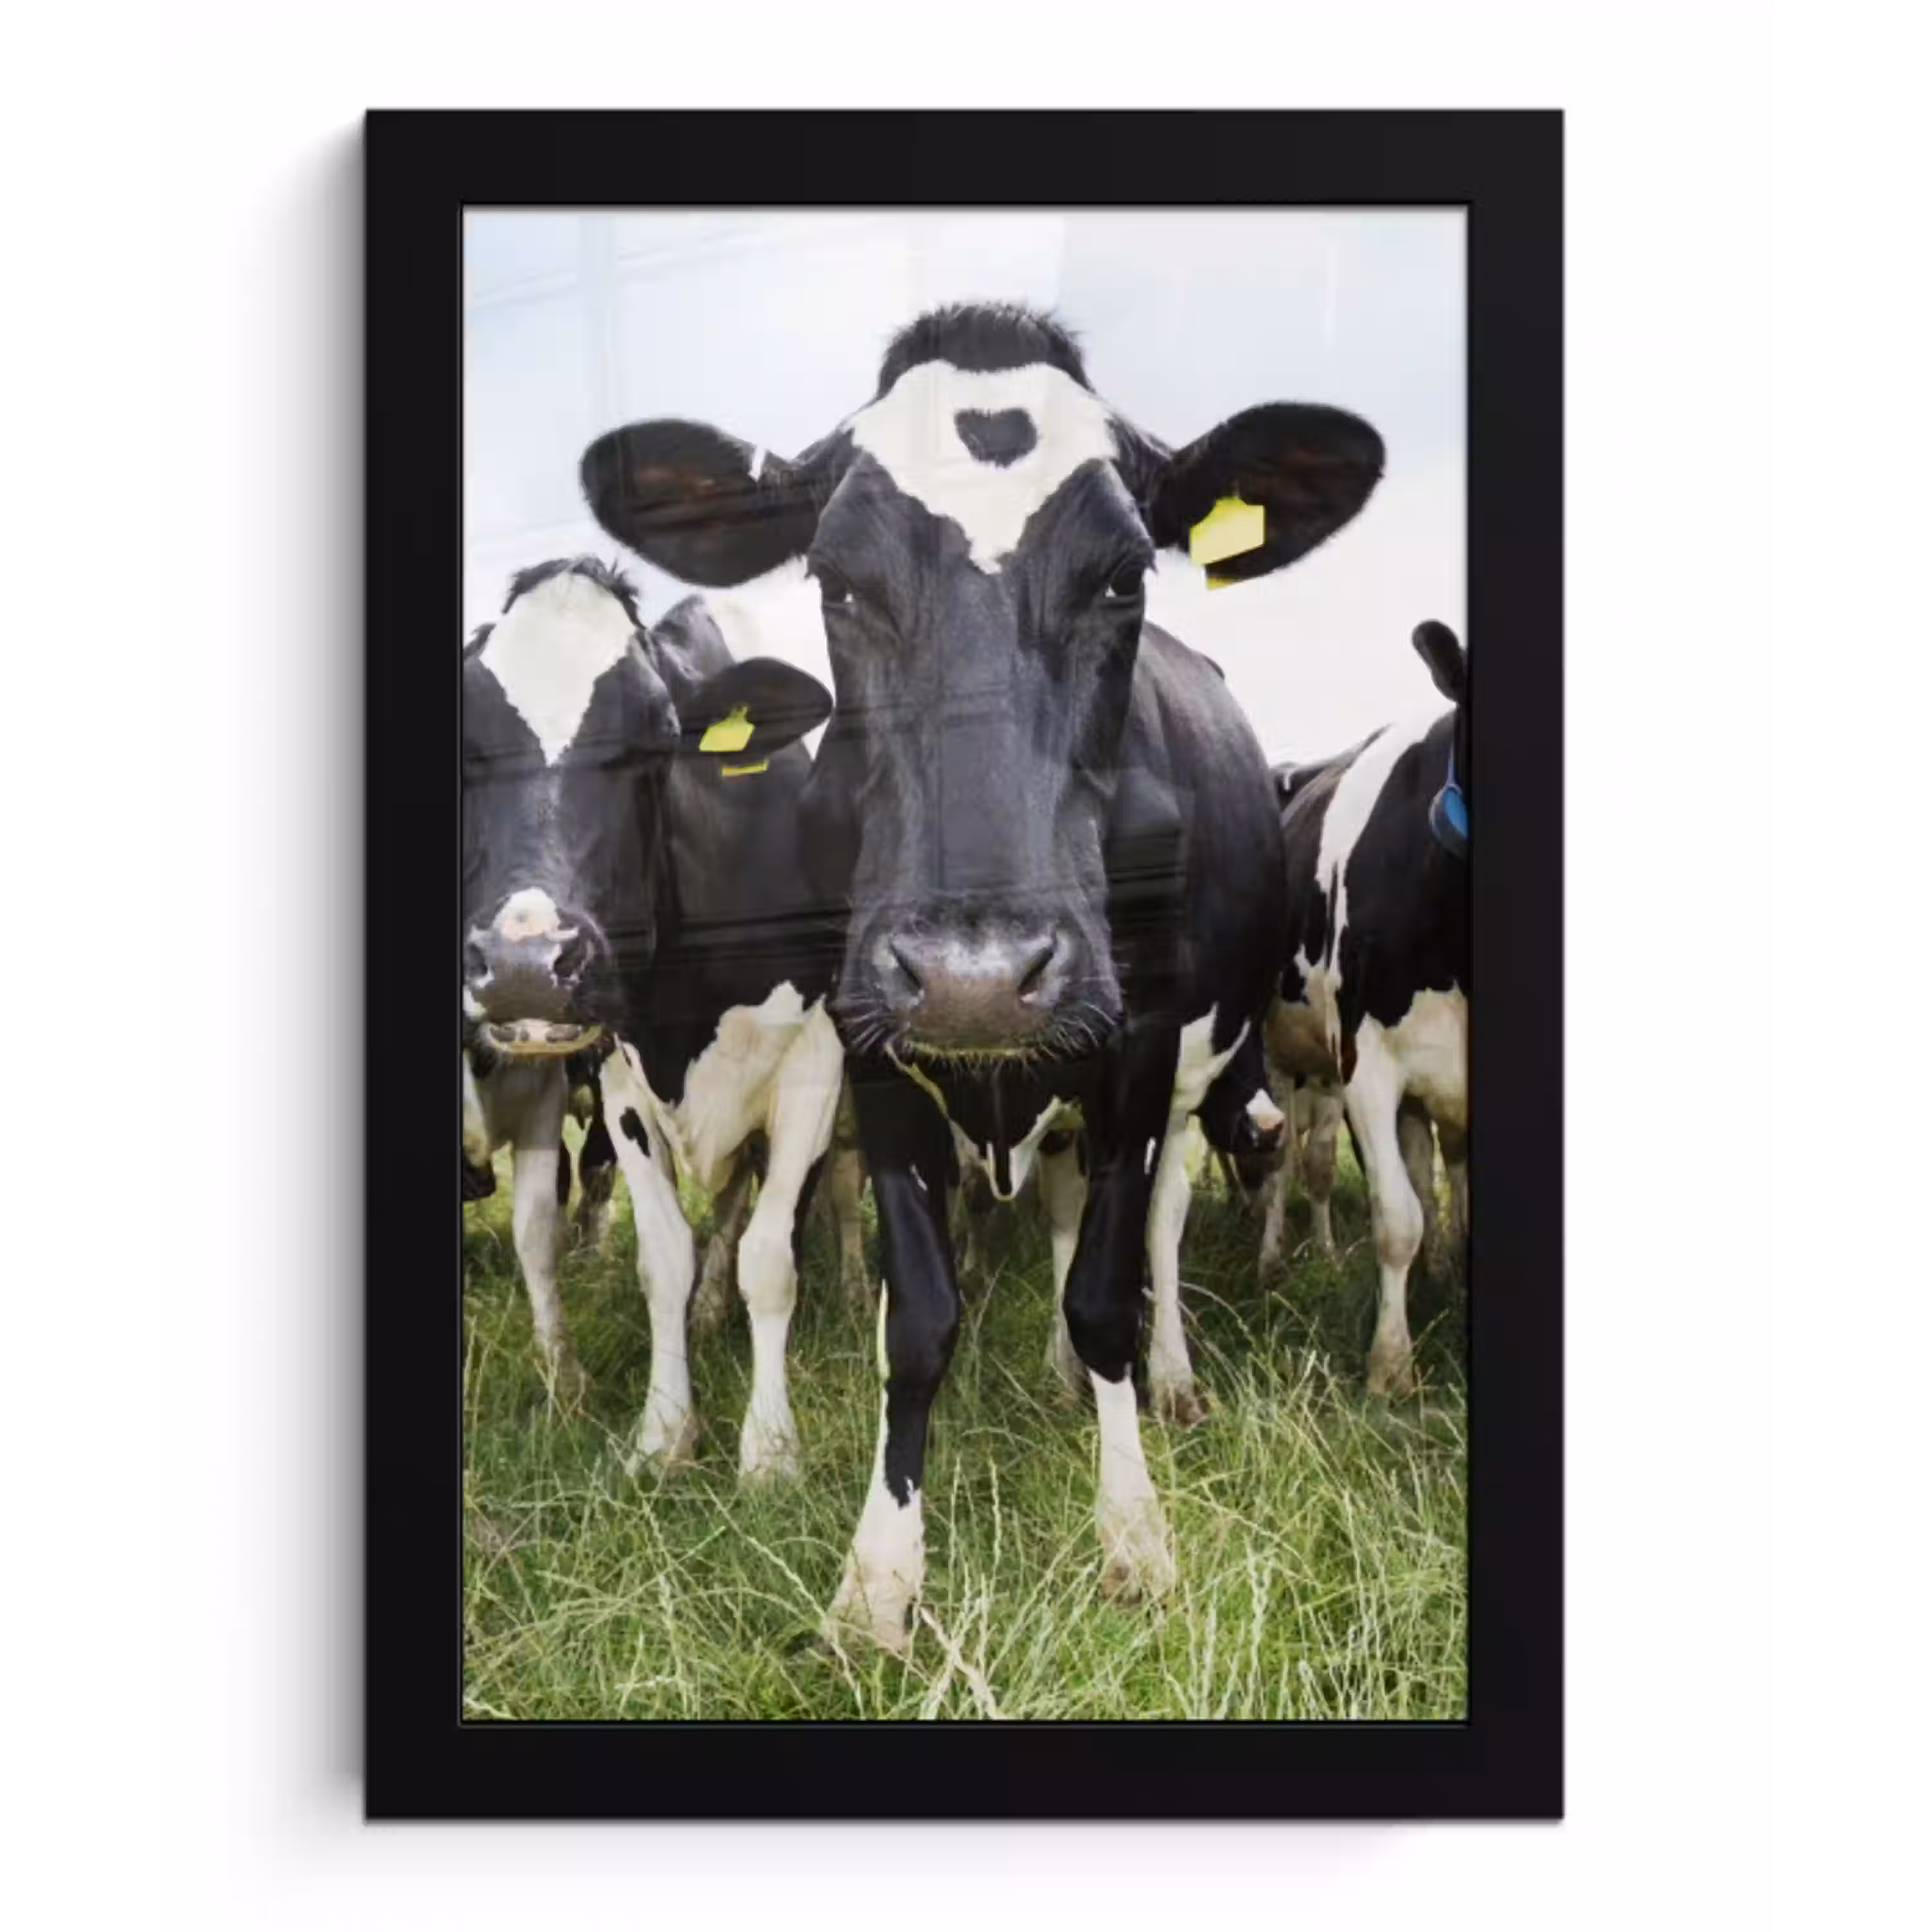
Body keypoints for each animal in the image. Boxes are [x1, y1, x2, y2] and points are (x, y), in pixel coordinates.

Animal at [461, 556, 844, 1476]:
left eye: (658, 738)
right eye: (467, 746)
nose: (526, 968)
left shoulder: (816, 1065)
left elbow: (773, 1256)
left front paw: (769, 1449)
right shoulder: (620, 1079)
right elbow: (663, 1257)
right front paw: (666, 1431)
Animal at [581, 301, 1383, 1651]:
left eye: (1124, 574)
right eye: (836, 579)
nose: (976, 979)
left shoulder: (1140, 1045)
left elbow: (1107, 1289)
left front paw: (1134, 1537)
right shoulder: (871, 1046)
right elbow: (918, 1317)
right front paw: (879, 1580)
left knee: (1156, 1229)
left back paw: (1164, 1382)